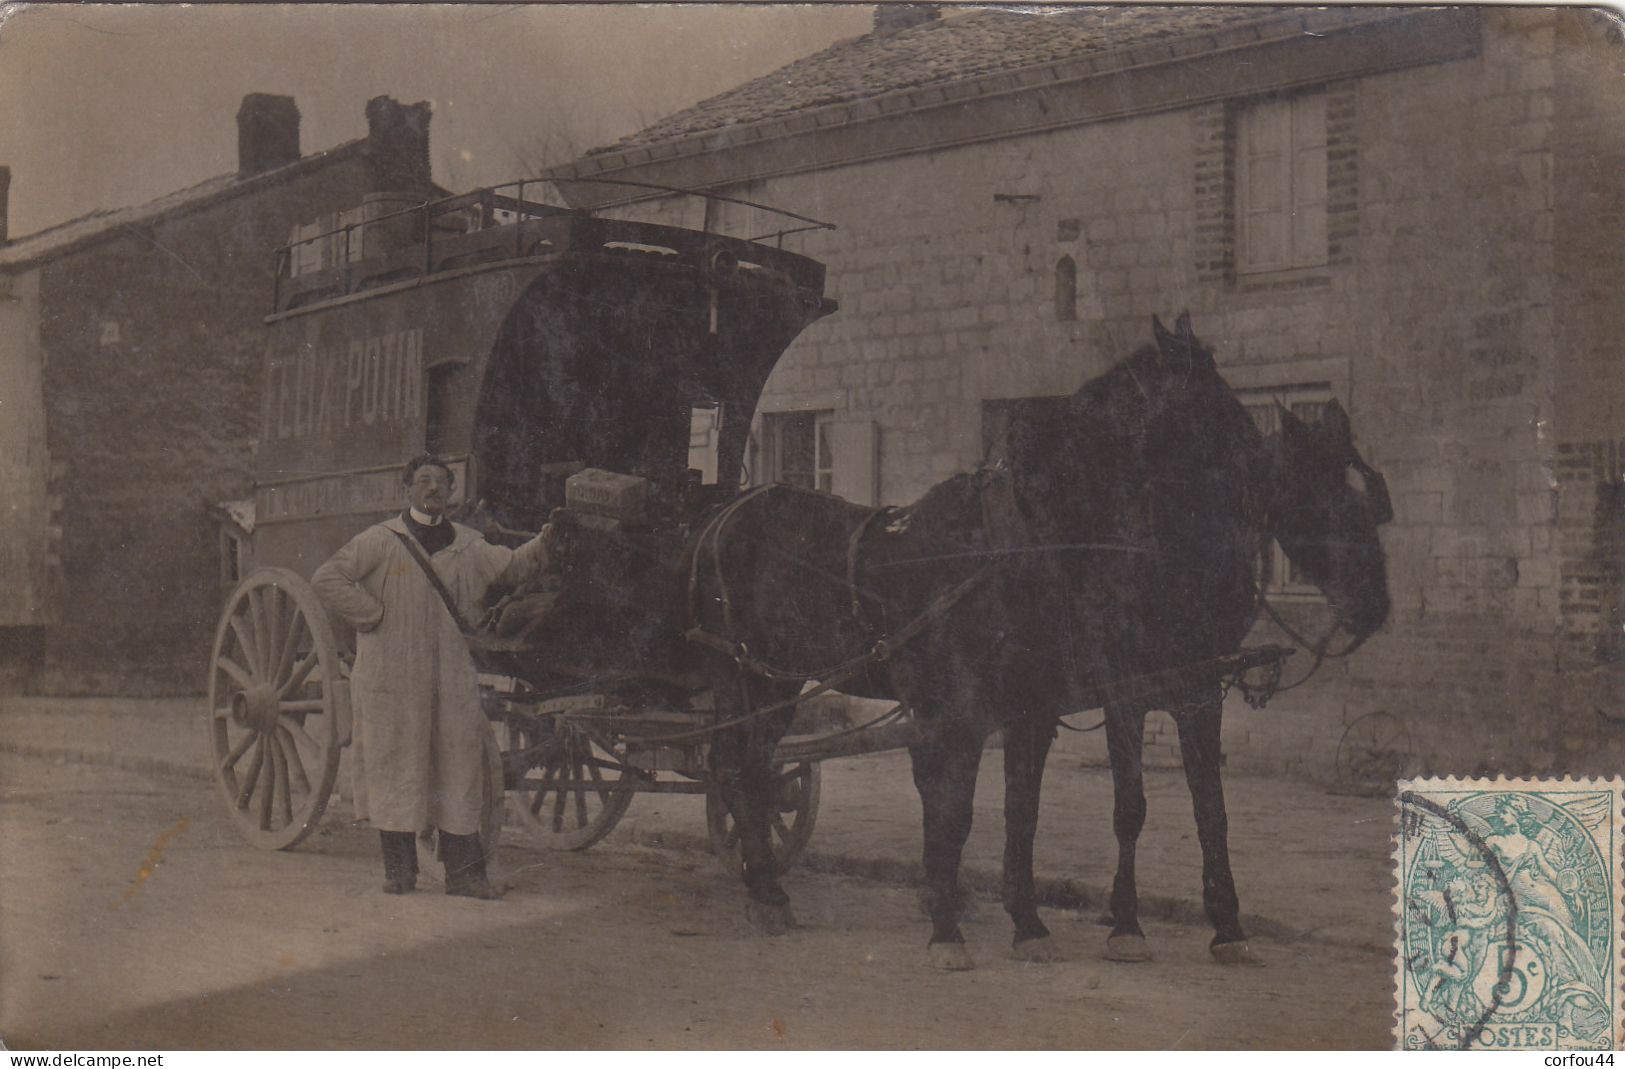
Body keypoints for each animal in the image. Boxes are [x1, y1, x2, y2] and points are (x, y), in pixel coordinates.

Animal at [692, 311, 1391, 961]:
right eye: (1214, 401)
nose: (1376, 607)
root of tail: (725, 513)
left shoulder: (1073, 701)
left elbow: (1038, 813)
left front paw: (1030, 923)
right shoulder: (1030, 703)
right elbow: (989, 810)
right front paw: (966, 931)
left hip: (776, 683)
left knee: (750, 769)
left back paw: (769, 886)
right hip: (751, 679)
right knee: (740, 766)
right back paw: (768, 891)